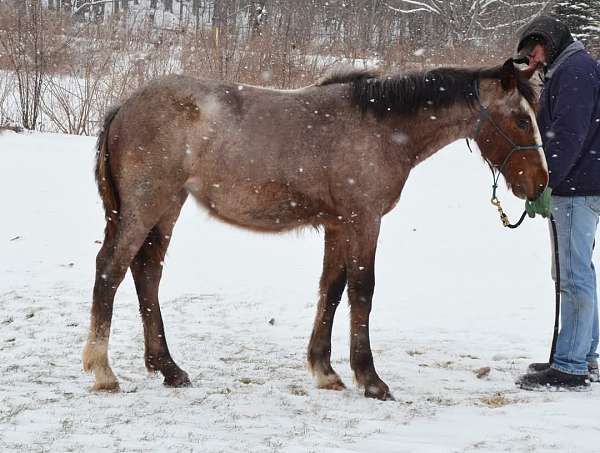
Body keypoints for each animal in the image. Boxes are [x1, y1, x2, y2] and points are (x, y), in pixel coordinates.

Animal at [83, 57, 548, 400]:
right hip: (146, 205)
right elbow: (362, 291)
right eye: (521, 121)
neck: (383, 128)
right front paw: (371, 379)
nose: (540, 183)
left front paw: (325, 371)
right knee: (111, 268)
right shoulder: (364, 221)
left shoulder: (338, 225)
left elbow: (332, 290)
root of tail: (124, 106)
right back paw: (103, 371)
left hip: (167, 207)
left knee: (147, 273)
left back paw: (168, 368)